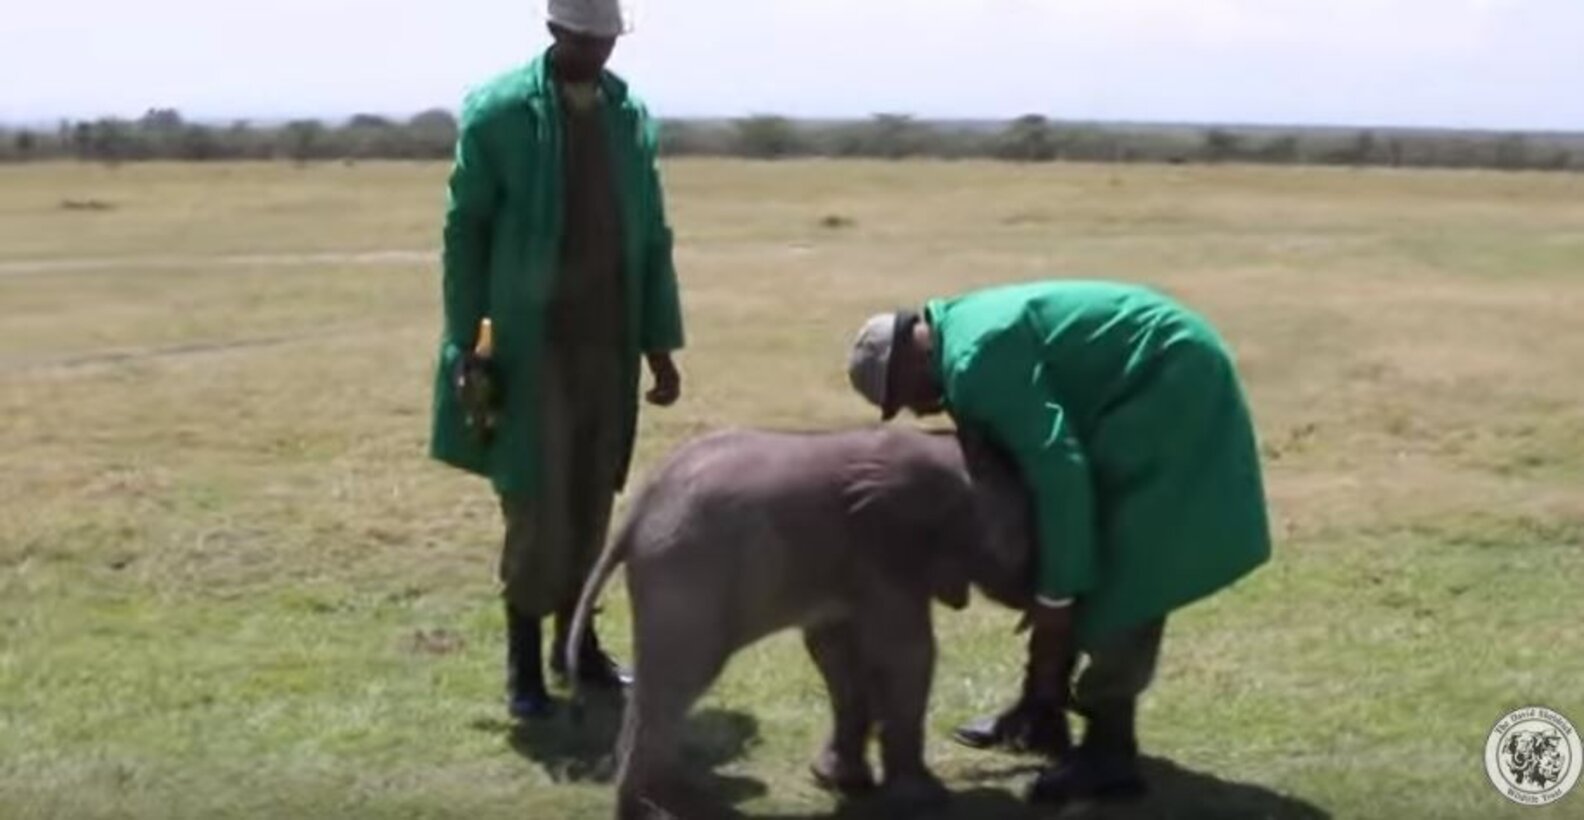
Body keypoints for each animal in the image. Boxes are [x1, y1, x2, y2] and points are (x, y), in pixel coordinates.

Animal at [565, 425, 1036, 819]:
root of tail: (637, 512)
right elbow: (905, 655)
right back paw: (664, 806)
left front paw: (841, 782)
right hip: (690, 573)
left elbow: (834, 650)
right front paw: (925, 801)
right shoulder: (886, 554)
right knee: (680, 676)